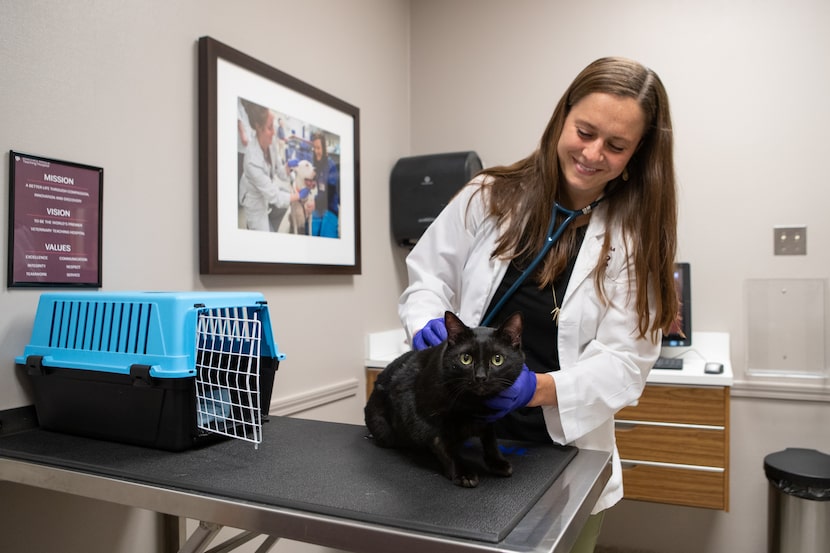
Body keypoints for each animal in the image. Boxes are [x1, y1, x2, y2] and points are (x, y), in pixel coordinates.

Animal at [366, 310, 528, 488]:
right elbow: (444, 447)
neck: (473, 404)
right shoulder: (425, 419)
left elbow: (490, 439)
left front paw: (497, 462)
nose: (480, 377)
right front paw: (463, 473)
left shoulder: (487, 418)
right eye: (466, 359)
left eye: (497, 359)